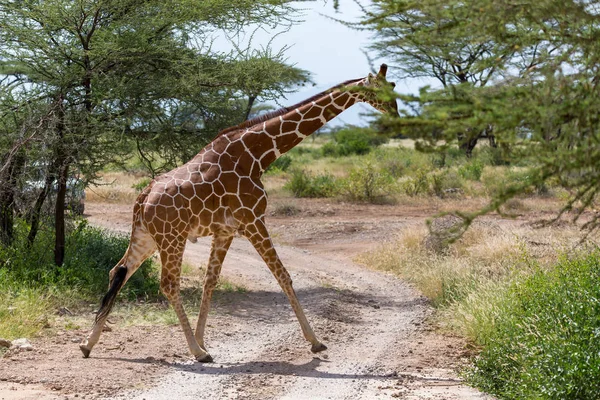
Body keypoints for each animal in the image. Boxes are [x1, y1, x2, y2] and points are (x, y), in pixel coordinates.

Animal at [81, 63, 398, 362]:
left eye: (393, 86)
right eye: (381, 90)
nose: (395, 112)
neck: (258, 156)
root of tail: (142, 198)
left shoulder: (226, 230)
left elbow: (210, 281)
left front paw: (203, 339)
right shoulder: (254, 220)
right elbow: (283, 276)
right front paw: (315, 342)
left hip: (146, 236)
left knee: (118, 271)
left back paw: (88, 344)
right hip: (172, 238)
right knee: (168, 284)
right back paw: (196, 353)